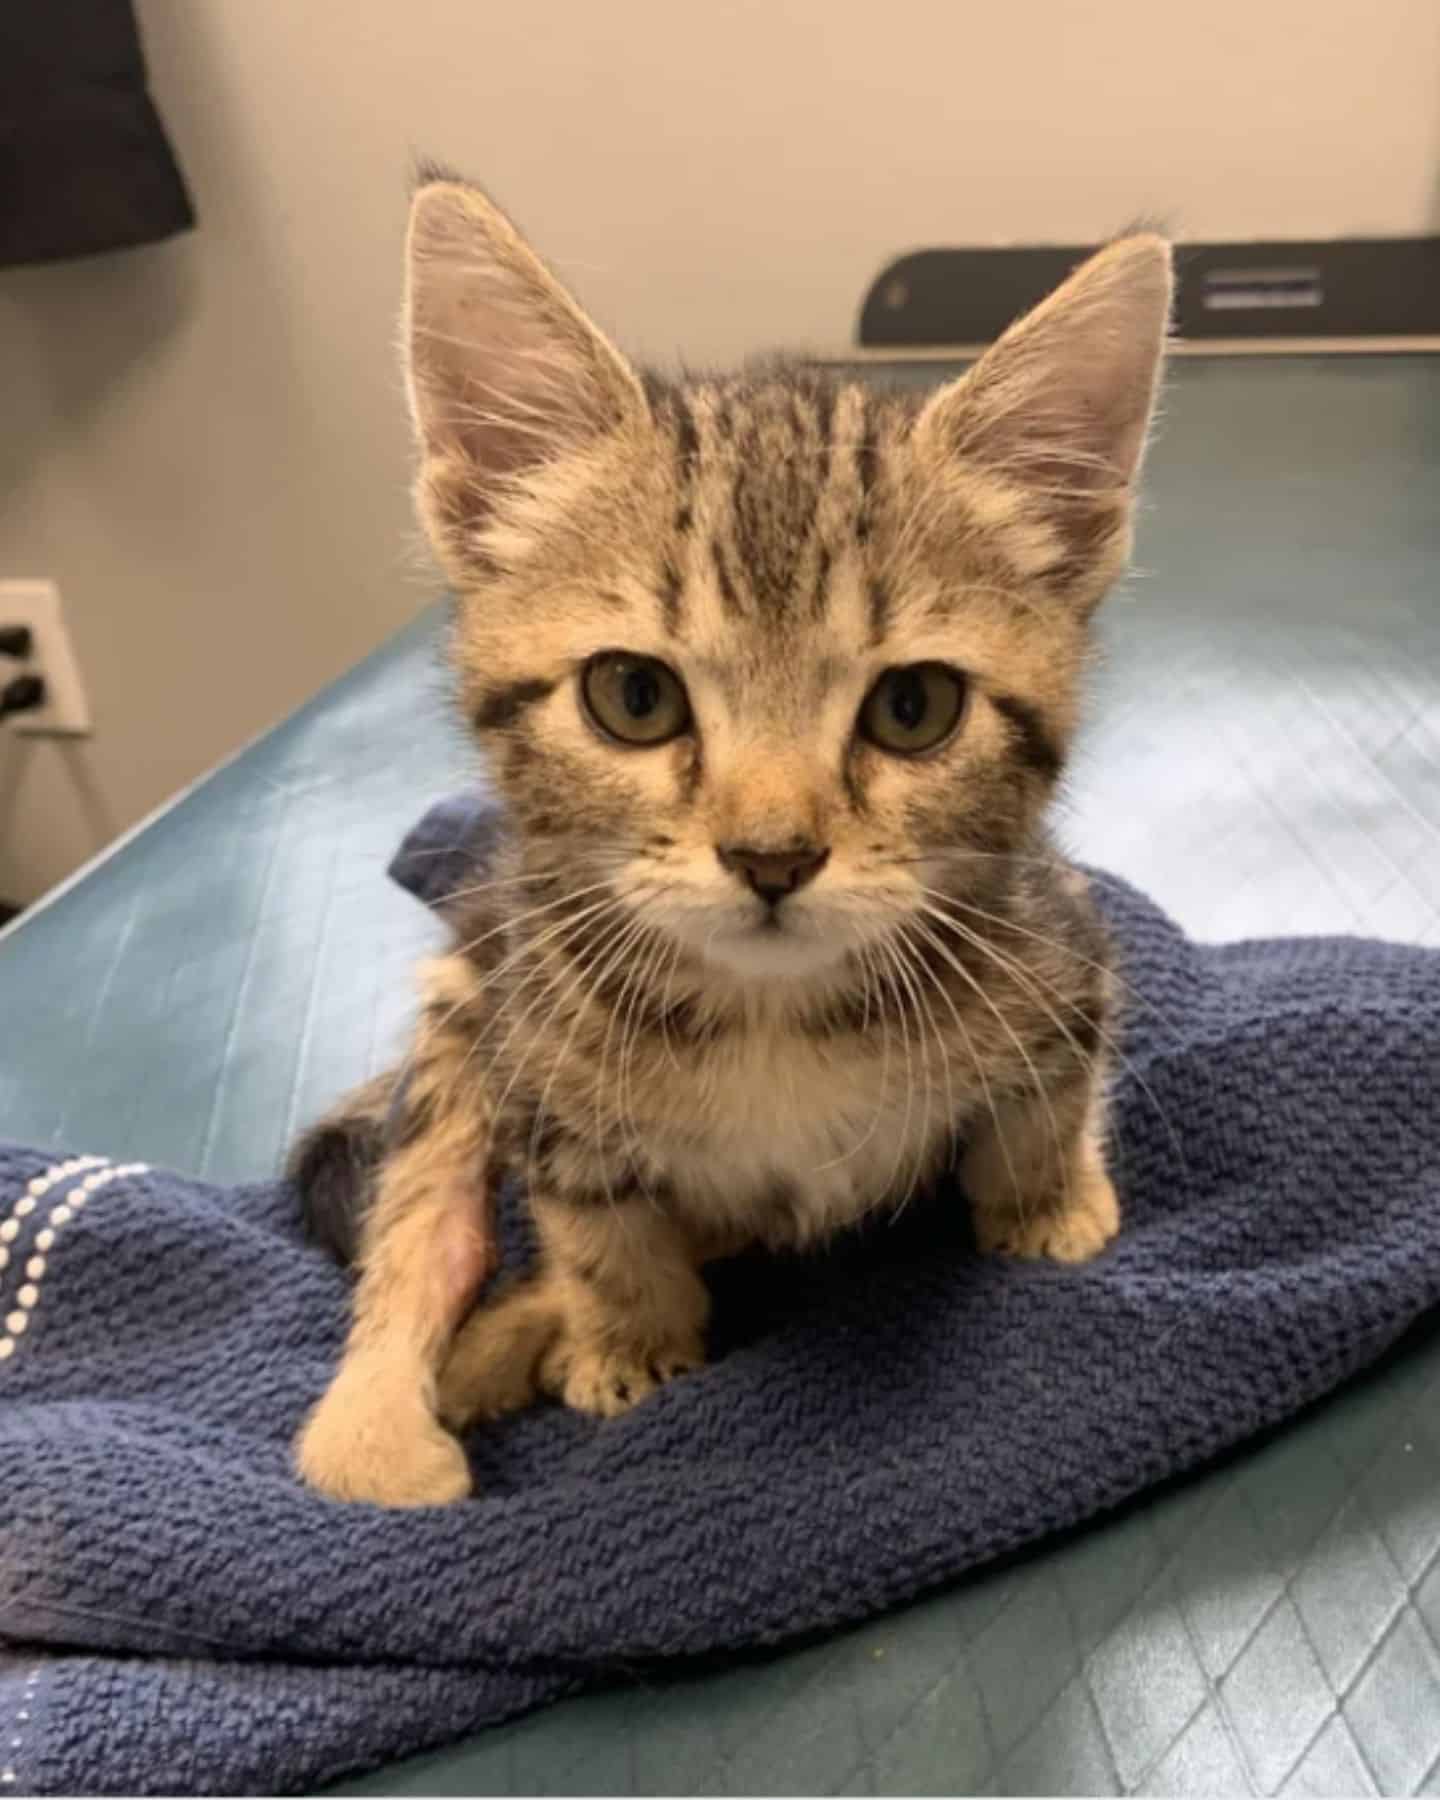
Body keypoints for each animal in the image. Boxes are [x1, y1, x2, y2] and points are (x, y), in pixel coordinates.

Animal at [291, 179, 1166, 1504]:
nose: (771, 857)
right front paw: (627, 1340)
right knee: (416, 1228)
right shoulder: (538, 1074)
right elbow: (597, 1226)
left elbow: (1040, 1111)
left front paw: (1049, 1210)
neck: (777, 1020)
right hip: (468, 997)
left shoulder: (1063, 952)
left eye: (915, 708)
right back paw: (394, 1418)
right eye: (633, 697)